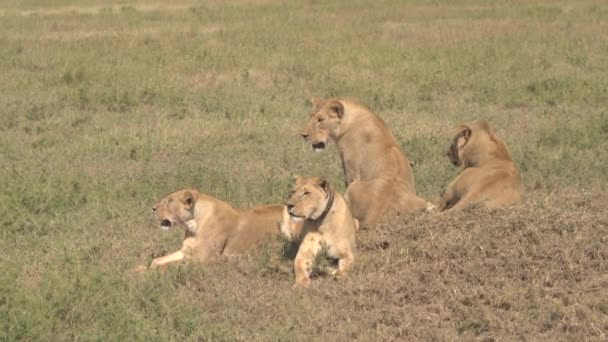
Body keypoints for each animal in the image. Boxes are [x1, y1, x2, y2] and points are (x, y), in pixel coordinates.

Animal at [147, 188, 282, 268]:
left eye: (168, 202)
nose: (153, 208)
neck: (194, 225)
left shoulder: (202, 257)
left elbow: (168, 265)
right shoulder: (186, 251)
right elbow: (159, 260)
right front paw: (148, 267)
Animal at [300, 98, 432, 227]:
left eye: (320, 120)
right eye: (311, 116)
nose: (303, 135)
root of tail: (373, 216)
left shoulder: (351, 169)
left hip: (354, 187)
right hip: (423, 201)